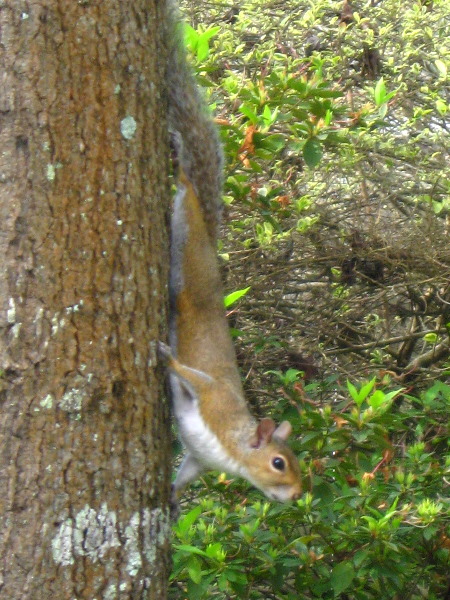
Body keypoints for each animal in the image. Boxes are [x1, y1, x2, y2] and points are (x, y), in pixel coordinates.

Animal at [158, 2, 302, 504]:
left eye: (298, 464)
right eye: (278, 463)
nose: (297, 496)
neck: (233, 450)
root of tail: (205, 226)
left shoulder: (201, 459)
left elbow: (184, 474)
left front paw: (172, 498)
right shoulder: (212, 401)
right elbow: (191, 376)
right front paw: (165, 355)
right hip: (183, 246)